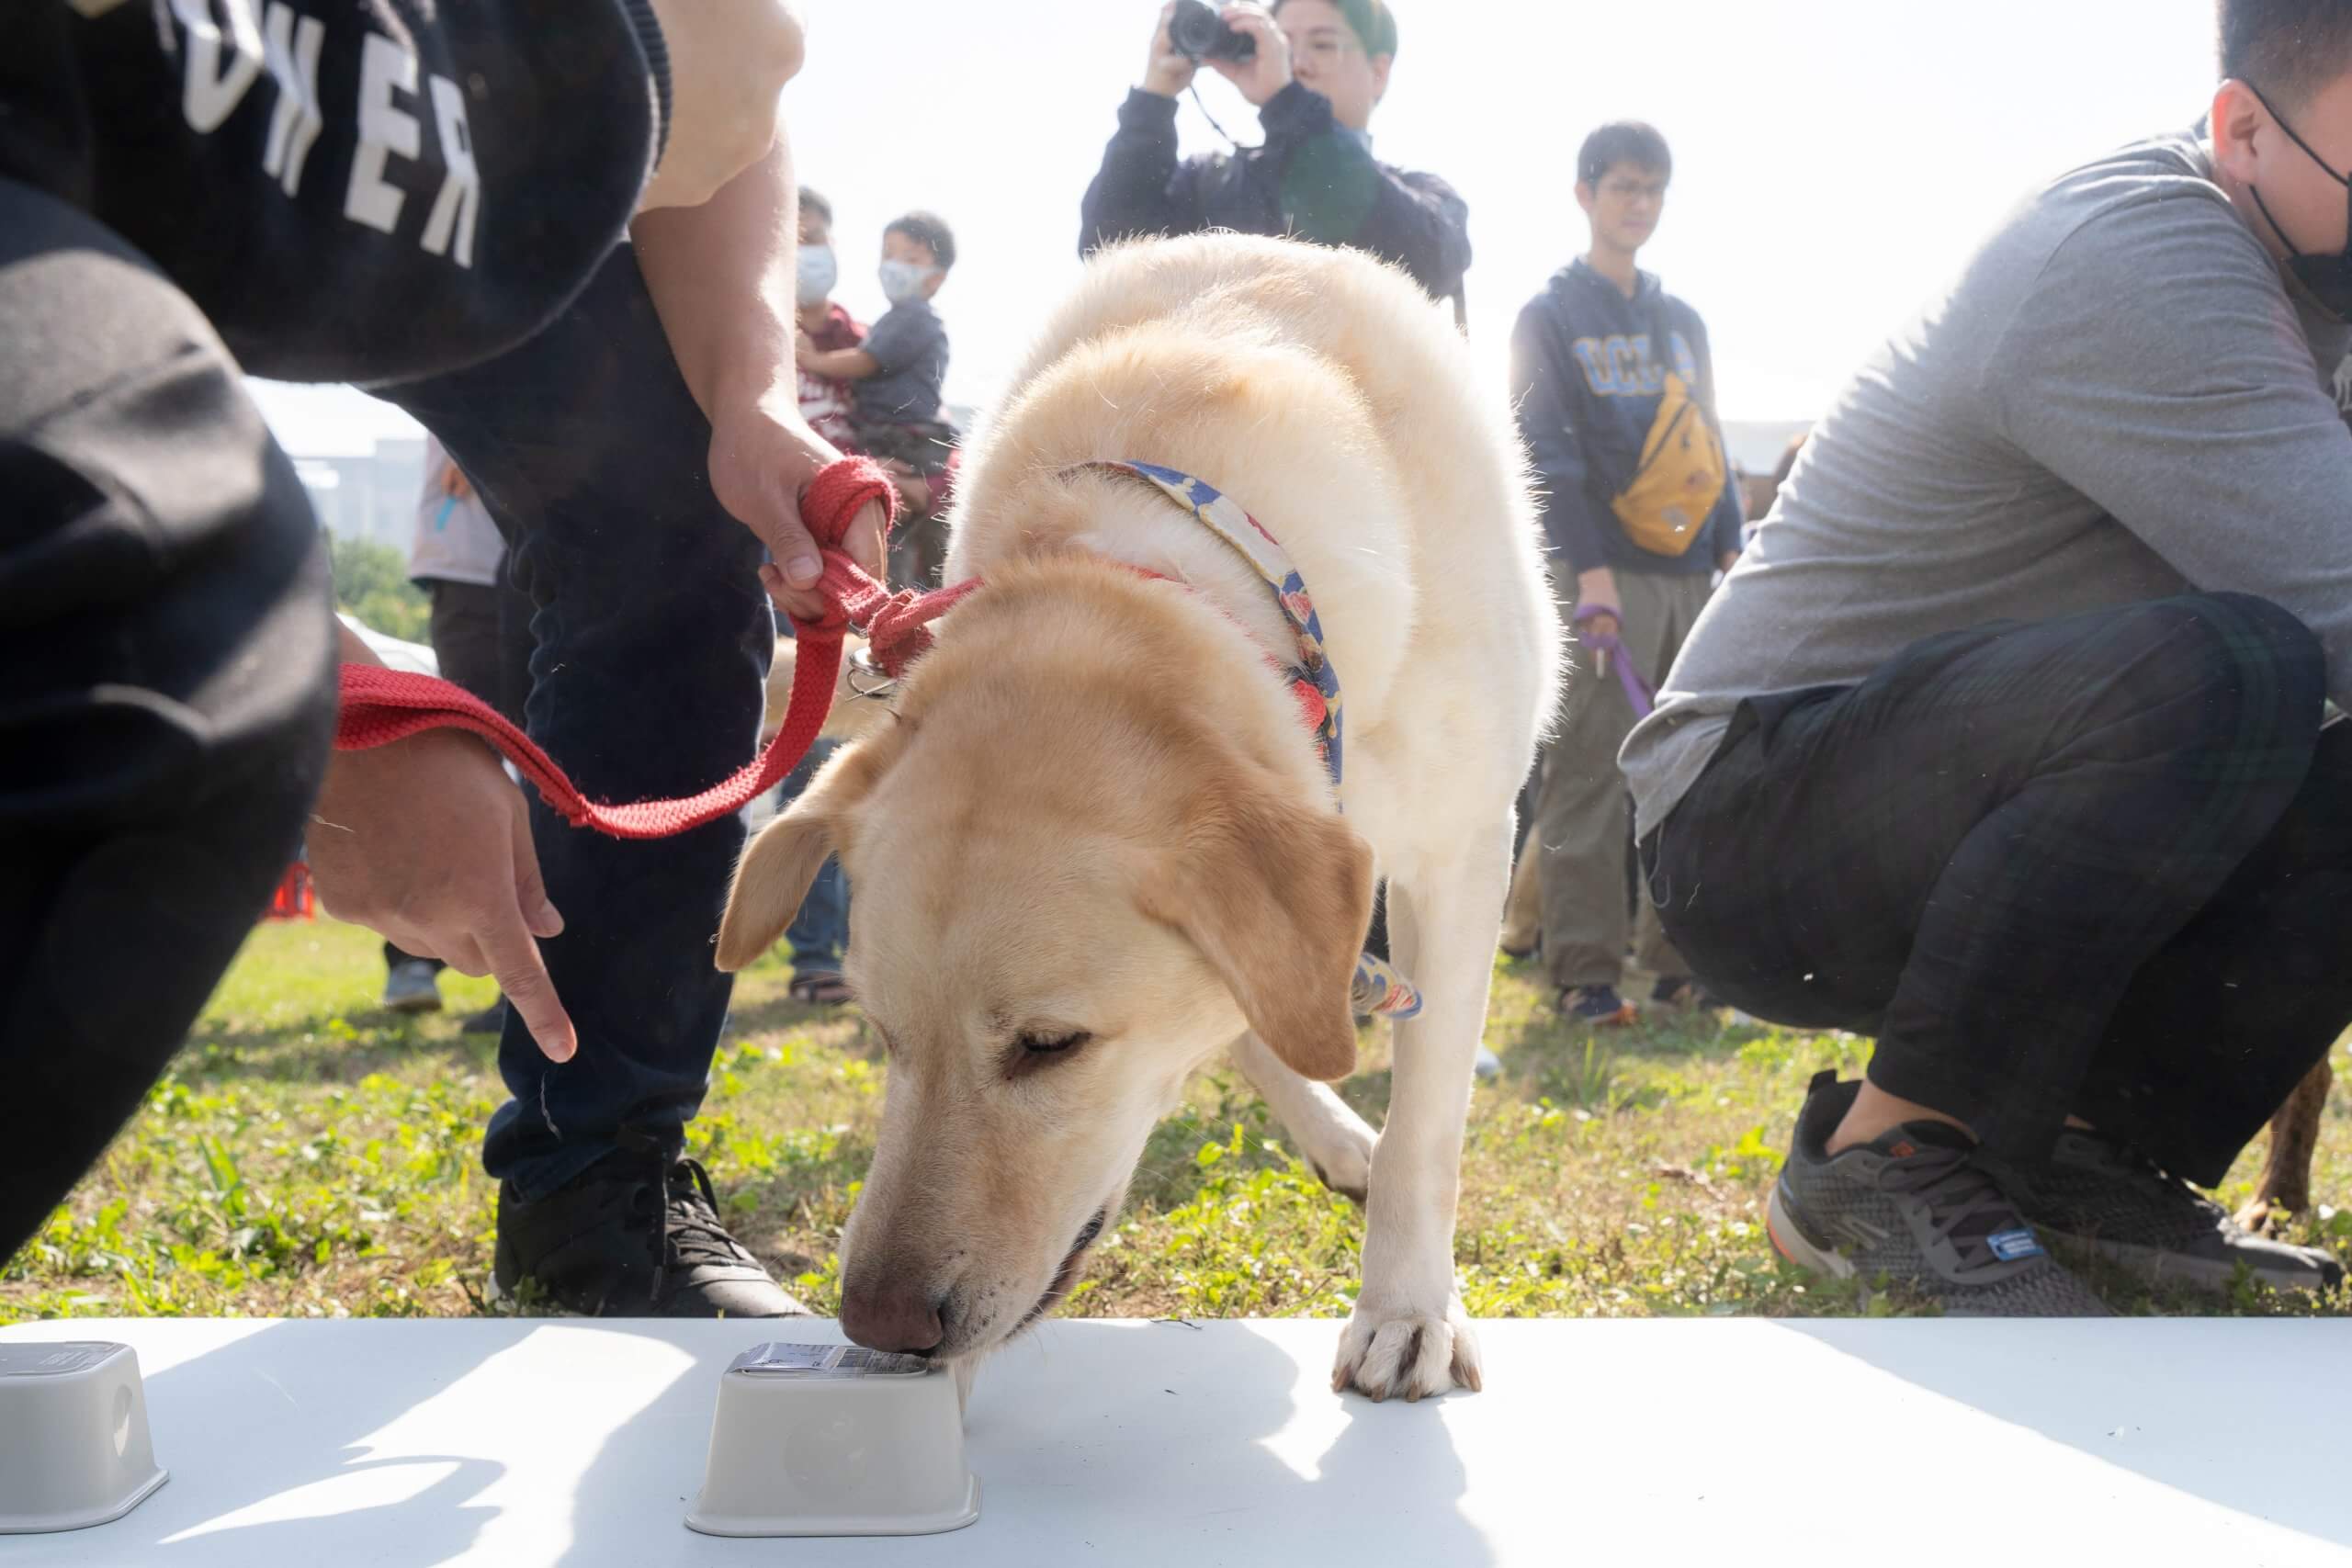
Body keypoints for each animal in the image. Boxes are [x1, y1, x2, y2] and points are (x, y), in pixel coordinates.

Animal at [715, 230, 1561, 1401]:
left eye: (1050, 1046)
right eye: (882, 1034)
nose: (879, 1323)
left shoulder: (1466, 849)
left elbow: (1425, 1130)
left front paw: (1406, 1311)